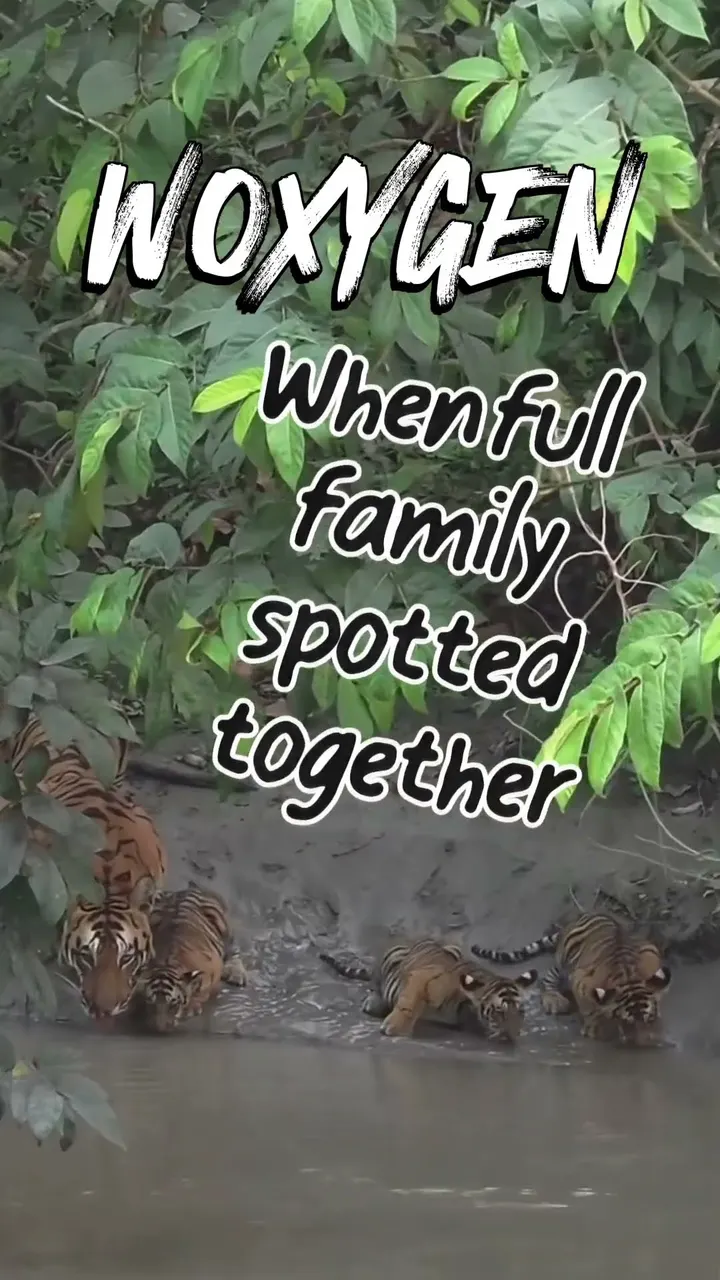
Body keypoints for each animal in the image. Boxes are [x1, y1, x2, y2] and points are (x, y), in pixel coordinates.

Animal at [135, 886, 248, 1033]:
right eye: (152, 1003)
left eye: (173, 1005)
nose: (159, 1029)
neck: (168, 963)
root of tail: (191, 888)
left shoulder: (212, 971)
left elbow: (204, 991)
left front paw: (193, 1006)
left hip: (224, 930)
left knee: (234, 951)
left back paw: (237, 974)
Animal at [319, 939, 537, 1041]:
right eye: (500, 1011)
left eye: (520, 1012)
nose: (513, 1035)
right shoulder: (422, 977)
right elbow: (408, 1004)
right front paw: (395, 1028)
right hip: (391, 958)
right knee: (376, 985)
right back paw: (374, 1002)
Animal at [471, 912, 672, 1045]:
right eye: (628, 1022)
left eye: (648, 1018)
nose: (643, 1042)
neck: (628, 977)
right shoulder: (580, 980)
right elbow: (590, 1009)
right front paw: (594, 1029)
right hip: (563, 961)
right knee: (547, 979)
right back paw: (555, 1000)